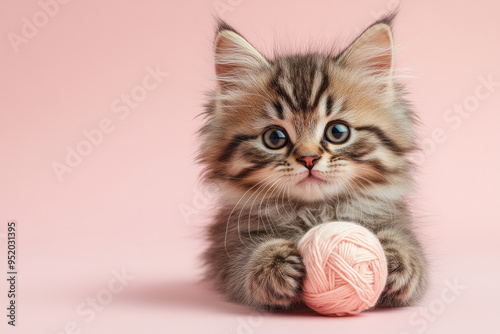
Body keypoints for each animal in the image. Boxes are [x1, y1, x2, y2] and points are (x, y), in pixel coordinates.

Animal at [197, 17, 428, 310]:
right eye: (275, 137)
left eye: (337, 132)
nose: (309, 158)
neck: (316, 211)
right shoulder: (225, 247)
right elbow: (243, 262)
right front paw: (274, 264)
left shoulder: (401, 223)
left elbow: (412, 251)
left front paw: (398, 260)